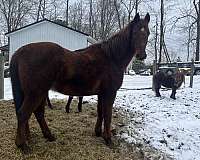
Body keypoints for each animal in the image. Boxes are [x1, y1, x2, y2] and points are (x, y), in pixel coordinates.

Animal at [9, 13, 150, 153]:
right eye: (135, 32)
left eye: (147, 33)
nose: (142, 56)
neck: (111, 57)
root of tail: (19, 52)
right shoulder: (110, 93)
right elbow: (108, 115)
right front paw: (108, 139)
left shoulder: (101, 93)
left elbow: (100, 112)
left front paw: (98, 133)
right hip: (36, 93)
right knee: (23, 114)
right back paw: (23, 145)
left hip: (38, 92)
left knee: (36, 113)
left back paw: (44, 136)